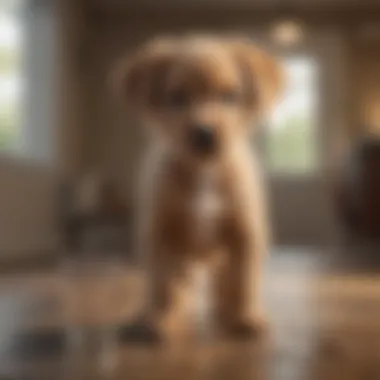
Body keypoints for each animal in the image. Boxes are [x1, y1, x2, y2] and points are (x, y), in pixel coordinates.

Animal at [114, 35, 284, 342]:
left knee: (224, 285)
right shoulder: (160, 235)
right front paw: (156, 319)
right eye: (178, 97)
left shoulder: (244, 234)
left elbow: (244, 281)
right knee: (176, 287)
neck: (205, 171)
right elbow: (160, 285)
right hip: (183, 261)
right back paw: (161, 313)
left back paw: (227, 311)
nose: (204, 133)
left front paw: (246, 316)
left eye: (230, 96)